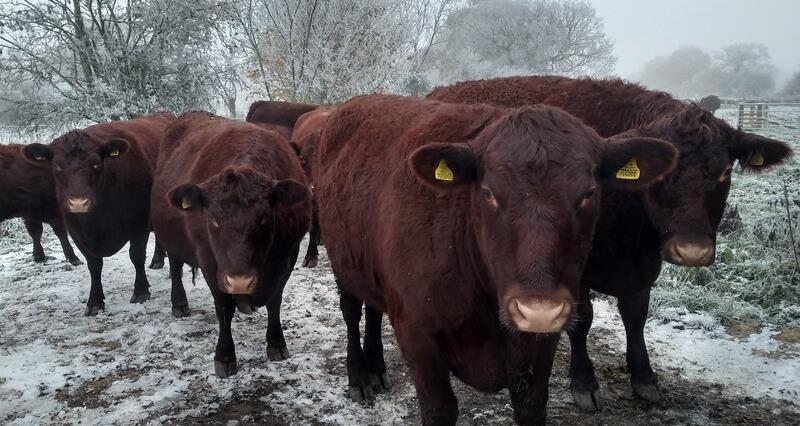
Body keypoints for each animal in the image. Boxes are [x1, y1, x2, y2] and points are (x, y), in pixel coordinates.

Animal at [23, 114, 177, 316]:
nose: (78, 202)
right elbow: (94, 265)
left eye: (96, 164)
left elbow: (136, 256)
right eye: (57, 167)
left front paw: (141, 291)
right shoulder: (77, 233)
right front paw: (94, 301)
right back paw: (158, 259)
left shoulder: (139, 223)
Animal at [150, 112, 312, 376]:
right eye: (213, 219)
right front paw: (225, 356)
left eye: (264, 218)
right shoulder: (210, 262)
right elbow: (224, 307)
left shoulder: (287, 256)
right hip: (170, 237)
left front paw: (276, 343)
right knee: (175, 265)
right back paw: (179, 303)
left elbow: (275, 301)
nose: (240, 281)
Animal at [312, 95, 680, 424]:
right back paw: (360, 377)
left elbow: (532, 407)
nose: (538, 309)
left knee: (373, 310)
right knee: (351, 312)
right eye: (488, 192)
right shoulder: (417, 335)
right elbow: (440, 410)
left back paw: (376, 368)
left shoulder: (541, 347)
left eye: (589, 193)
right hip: (341, 264)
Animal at [428, 75, 792, 410]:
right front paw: (584, 383)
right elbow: (582, 320)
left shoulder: (643, 267)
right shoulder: (574, 270)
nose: (692, 250)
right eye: (665, 174)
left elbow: (636, 316)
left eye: (725, 173)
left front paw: (644, 377)